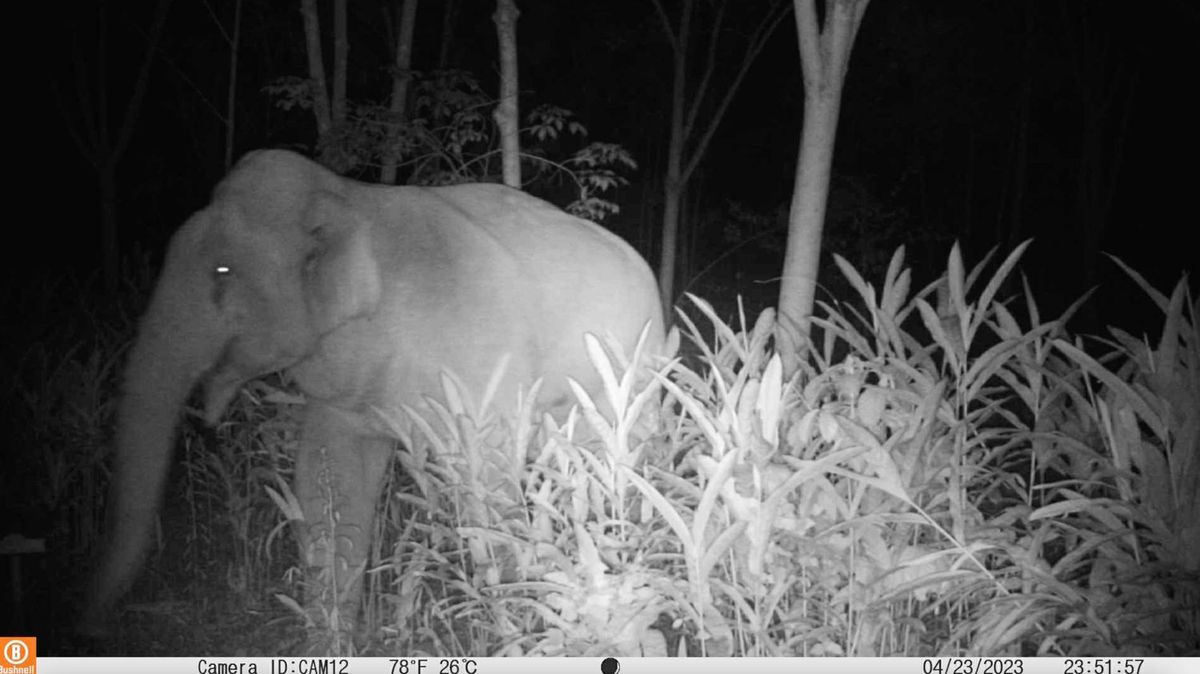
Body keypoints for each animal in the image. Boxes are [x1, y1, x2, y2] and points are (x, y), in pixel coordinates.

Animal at [79, 149, 665, 636]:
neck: (351, 200)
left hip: (635, 367)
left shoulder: (479, 362)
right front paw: (331, 640)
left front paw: (519, 626)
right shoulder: (343, 392)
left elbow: (487, 482)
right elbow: (327, 480)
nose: (85, 623)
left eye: (221, 271)